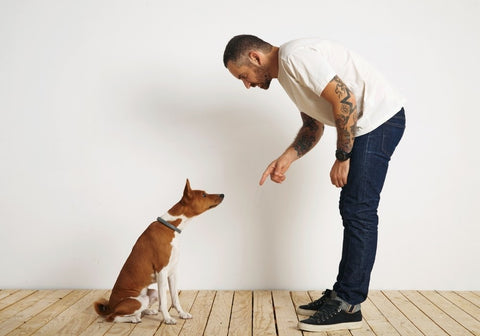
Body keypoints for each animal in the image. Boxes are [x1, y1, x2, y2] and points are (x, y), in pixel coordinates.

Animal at [94, 180, 225, 324]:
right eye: (203, 195)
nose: (222, 194)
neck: (171, 226)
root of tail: (110, 306)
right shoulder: (162, 271)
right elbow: (164, 302)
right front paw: (168, 319)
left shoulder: (173, 272)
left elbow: (175, 298)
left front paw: (182, 314)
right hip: (138, 301)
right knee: (113, 317)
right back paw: (134, 318)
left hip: (151, 293)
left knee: (139, 310)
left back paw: (147, 312)